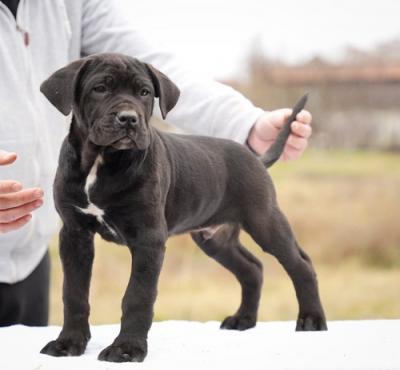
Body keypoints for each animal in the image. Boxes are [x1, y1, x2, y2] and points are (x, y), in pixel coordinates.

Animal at [39, 53, 328, 362]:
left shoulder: (148, 238)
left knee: (300, 264)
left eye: (144, 92)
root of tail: (255, 157)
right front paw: (68, 342)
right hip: (215, 239)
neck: (100, 160)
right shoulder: (75, 234)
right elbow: (74, 293)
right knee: (253, 268)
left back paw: (312, 319)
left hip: (264, 220)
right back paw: (243, 319)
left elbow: (138, 295)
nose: (129, 119)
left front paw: (127, 348)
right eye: (100, 88)